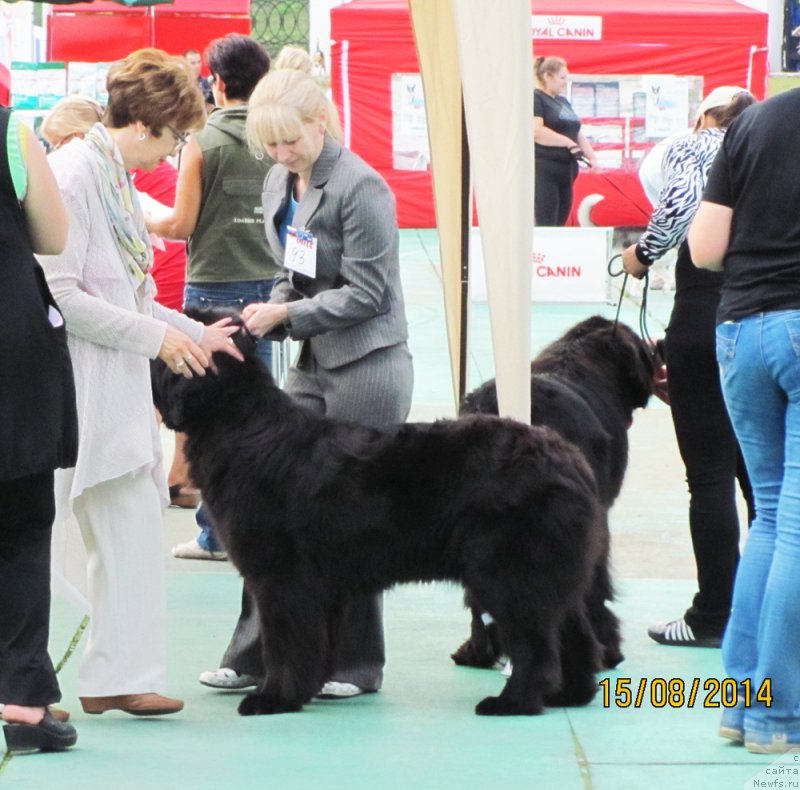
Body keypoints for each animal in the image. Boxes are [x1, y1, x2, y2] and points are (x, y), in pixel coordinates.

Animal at [152, 324, 608, 720]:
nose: (158, 346)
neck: (239, 424)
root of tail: (568, 457)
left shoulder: (281, 578)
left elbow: (284, 643)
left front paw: (274, 697)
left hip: (509, 576)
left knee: (535, 645)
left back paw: (513, 702)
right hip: (551, 575)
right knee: (577, 635)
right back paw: (570, 694)